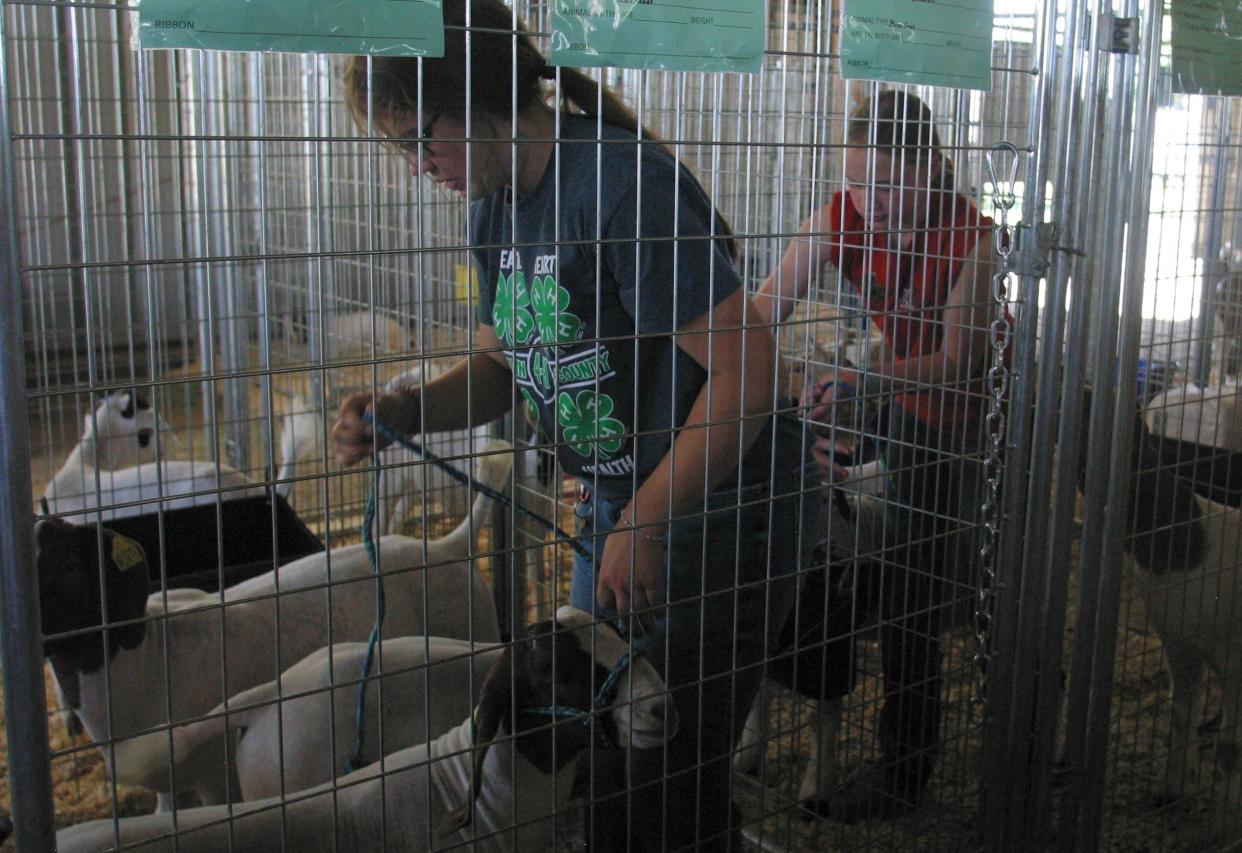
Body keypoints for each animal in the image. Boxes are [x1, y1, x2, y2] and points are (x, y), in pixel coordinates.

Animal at [37, 444, 514, 809]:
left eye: (67, 568)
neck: (144, 657)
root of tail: (449, 546)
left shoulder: (215, 780)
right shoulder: (171, 785)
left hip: (477, 625)